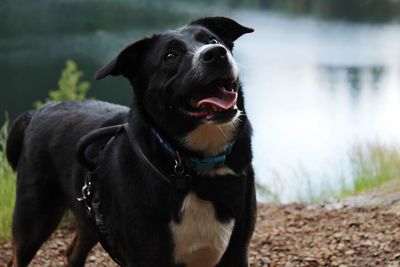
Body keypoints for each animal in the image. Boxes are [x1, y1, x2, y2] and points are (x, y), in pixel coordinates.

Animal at [6, 17, 255, 267]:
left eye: (212, 40)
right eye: (170, 56)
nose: (217, 53)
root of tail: (37, 111)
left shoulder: (236, 252)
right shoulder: (147, 256)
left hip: (90, 215)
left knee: (72, 252)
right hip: (33, 217)